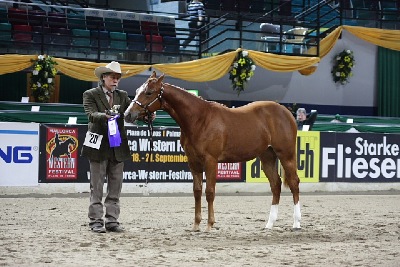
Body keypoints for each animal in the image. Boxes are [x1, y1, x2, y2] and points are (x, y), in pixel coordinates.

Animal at [125, 72, 300, 231]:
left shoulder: (211, 161)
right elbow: (197, 191)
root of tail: (286, 112)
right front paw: (196, 225)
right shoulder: (193, 162)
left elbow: (209, 192)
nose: (128, 114)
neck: (199, 119)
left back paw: (296, 223)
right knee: (276, 185)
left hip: (286, 155)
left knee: (294, 183)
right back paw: (269, 224)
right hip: (267, 157)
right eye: (138, 90)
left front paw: (210, 224)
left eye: (149, 92)